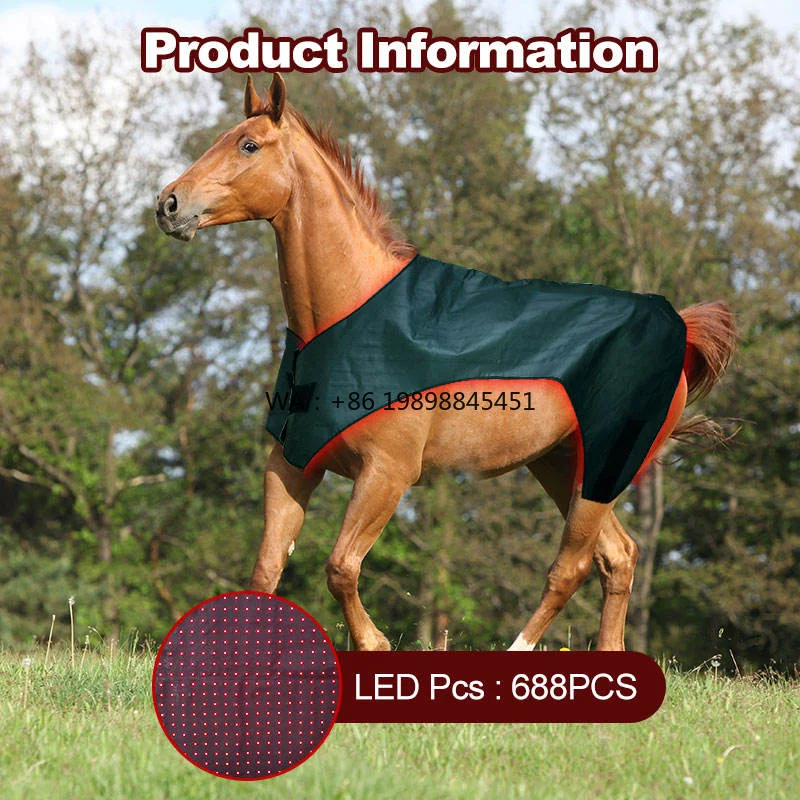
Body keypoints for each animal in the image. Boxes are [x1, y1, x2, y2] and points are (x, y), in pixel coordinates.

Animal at [156, 74, 735, 652]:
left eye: (249, 145)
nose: (168, 204)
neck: (348, 318)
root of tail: (678, 330)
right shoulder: (292, 465)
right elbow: (266, 572)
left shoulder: (387, 473)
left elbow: (341, 567)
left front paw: (374, 644)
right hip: (560, 465)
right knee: (618, 556)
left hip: (603, 472)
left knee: (569, 568)